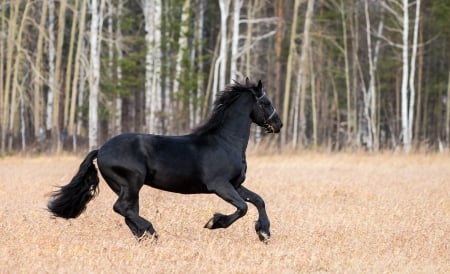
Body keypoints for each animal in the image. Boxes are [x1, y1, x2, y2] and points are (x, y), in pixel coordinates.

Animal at [48, 78, 282, 243]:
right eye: (266, 102)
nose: (278, 124)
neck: (225, 142)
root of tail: (101, 150)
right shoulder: (220, 185)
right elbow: (243, 207)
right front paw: (214, 222)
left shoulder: (236, 184)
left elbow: (258, 200)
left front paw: (264, 232)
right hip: (131, 183)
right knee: (121, 208)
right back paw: (151, 231)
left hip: (125, 187)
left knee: (128, 211)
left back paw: (145, 236)